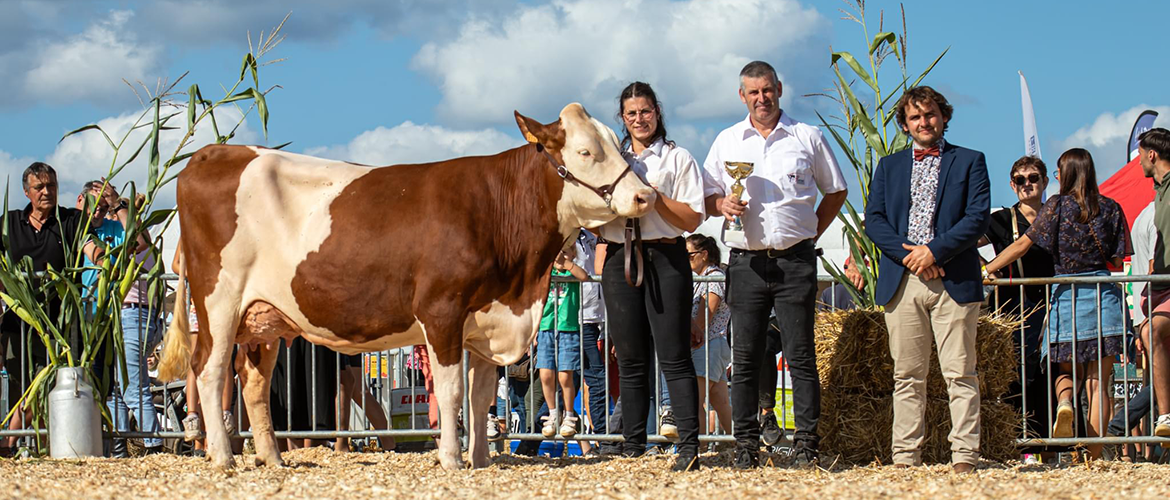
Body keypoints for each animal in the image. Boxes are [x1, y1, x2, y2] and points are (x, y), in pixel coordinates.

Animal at [156, 101, 655, 470]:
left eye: (618, 146)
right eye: (586, 153)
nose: (645, 196)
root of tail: (213, 153)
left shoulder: (488, 319)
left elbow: (479, 398)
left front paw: (480, 462)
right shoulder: (442, 311)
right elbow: (452, 394)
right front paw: (452, 460)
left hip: (266, 318)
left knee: (253, 383)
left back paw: (273, 459)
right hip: (219, 302)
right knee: (209, 370)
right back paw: (222, 458)